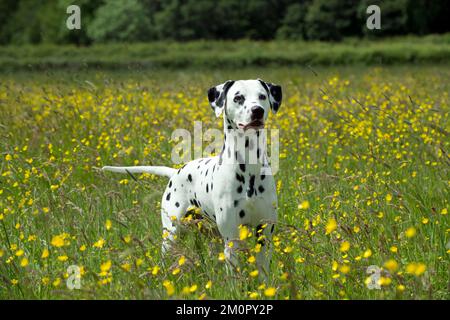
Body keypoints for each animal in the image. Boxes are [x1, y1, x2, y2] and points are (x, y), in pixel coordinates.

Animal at [103, 78, 284, 278]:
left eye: (262, 96)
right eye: (238, 97)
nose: (257, 110)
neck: (249, 169)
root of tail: (175, 172)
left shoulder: (264, 234)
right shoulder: (231, 237)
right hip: (171, 234)